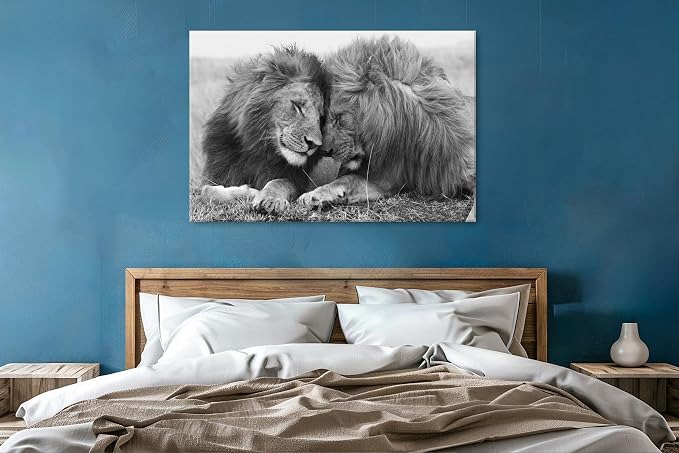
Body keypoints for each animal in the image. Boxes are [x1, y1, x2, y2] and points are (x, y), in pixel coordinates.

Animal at [200, 46, 329, 214]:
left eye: (321, 118)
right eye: (297, 106)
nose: (314, 144)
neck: (258, 148)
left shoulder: (298, 179)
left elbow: (279, 182)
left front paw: (269, 199)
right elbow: (206, 191)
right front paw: (248, 192)